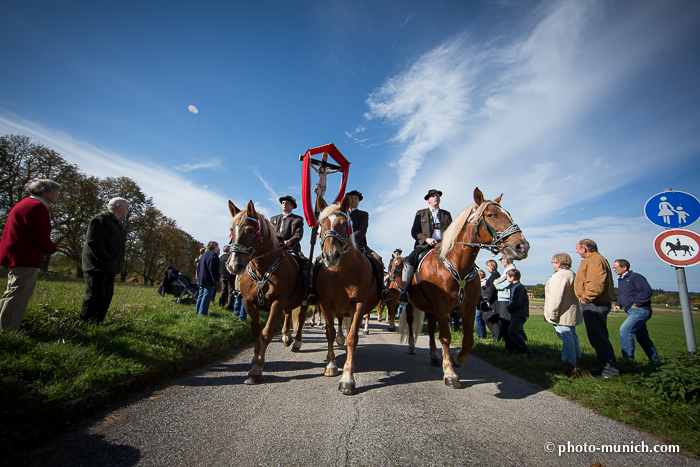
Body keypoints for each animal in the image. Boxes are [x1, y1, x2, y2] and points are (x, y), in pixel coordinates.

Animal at [228, 199, 308, 386]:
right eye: (231, 229)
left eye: (250, 230)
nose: (234, 265)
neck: (262, 269)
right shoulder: (248, 303)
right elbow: (256, 332)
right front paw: (254, 359)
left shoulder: (278, 302)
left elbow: (266, 333)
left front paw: (256, 369)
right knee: (288, 315)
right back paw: (286, 336)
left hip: (304, 301)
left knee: (301, 320)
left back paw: (296, 342)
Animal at [314, 194, 380, 394]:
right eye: (321, 224)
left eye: (344, 224)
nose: (330, 257)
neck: (340, 273)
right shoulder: (326, 304)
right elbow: (329, 333)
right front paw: (331, 366)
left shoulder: (359, 305)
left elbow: (352, 338)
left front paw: (347, 378)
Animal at [396, 188, 528, 390]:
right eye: (491, 215)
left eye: (509, 214)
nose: (522, 246)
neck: (458, 265)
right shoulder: (442, 307)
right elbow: (446, 337)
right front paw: (450, 373)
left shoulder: (468, 308)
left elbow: (468, 340)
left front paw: (457, 359)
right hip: (411, 304)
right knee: (411, 323)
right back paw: (411, 346)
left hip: (432, 309)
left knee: (432, 329)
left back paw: (434, 355)